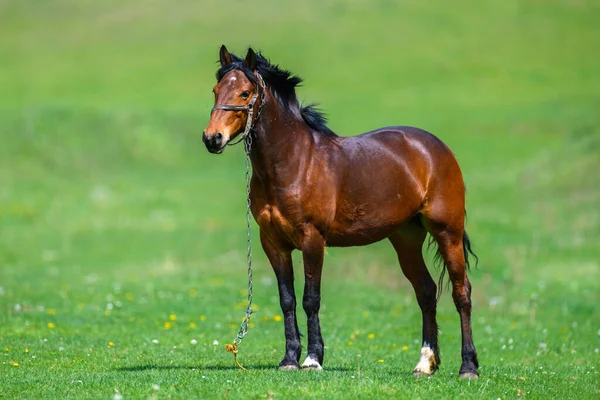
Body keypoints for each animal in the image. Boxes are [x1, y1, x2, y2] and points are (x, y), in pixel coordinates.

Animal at [204, 46, 480, 378]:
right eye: (216, 90)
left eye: (245, 93)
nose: (212, 138)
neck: (294, 162)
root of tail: (435, 147)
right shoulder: (273, 243)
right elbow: (287, 299)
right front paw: (289, 358)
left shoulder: (313, 239)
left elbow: (310, 299)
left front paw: (312, 359)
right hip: (405, 238)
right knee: (426, 292)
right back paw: (424, 363)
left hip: (447, 232)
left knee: (461, 293)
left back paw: (468, 366)